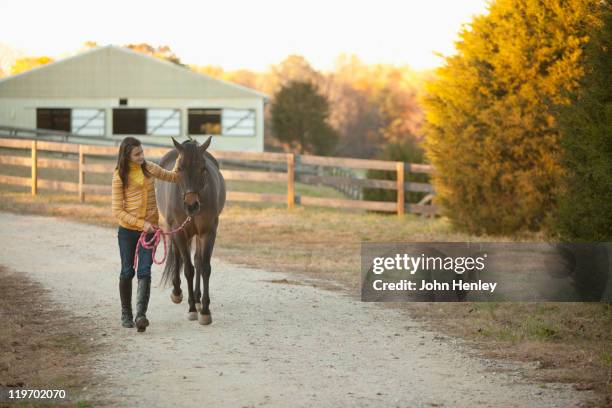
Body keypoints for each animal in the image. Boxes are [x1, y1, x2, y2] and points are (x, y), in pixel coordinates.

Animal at [157, 137, 226, 326]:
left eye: (203, 168)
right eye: (179, 168)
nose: (191, 205)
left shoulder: (208, 232)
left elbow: (204, 267)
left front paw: (205, 310)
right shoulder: (179, 232)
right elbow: (188, 269)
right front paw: (192, 309)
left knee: (197, 260)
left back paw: (196, 297)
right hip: (176, 231)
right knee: (178, 257)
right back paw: (178, 293)